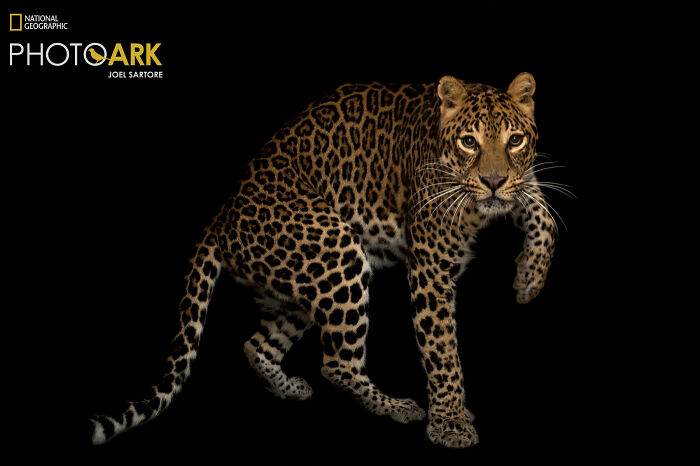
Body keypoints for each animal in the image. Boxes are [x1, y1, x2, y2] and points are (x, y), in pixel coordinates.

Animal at [89, 73, 556, 448]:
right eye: (468, 142)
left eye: (515, 140)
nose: (492, 181)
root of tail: (221, 218)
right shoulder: (430, 267)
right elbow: (442, 351)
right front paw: (450, 423)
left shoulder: (518, 185)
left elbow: (542, 209)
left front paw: (528, 280)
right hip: (338, 251)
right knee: (336, 364)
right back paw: (396, 406)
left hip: (299, 285)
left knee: (256, 344)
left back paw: (290, 388)